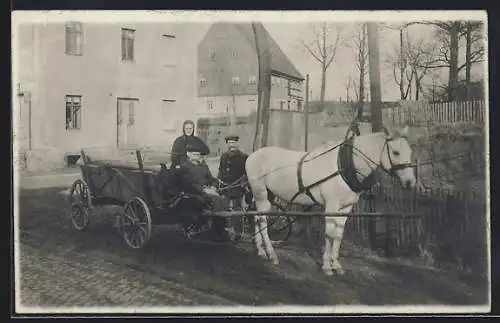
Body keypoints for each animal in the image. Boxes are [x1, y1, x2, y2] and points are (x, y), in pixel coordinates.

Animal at [244, 126, 416, 276]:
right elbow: (329, 233)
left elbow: (338, 234)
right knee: (262, 220)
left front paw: (336, 265)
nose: (410, 182)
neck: (343, 166)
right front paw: (327, 266)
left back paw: (261, 251)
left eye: (410, 152)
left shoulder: (346, 208)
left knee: (257, 217)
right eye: (395, 152)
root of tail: (252, 156)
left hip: (267, 195)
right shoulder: (331, 205)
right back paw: (272, 254)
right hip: (260, 193)